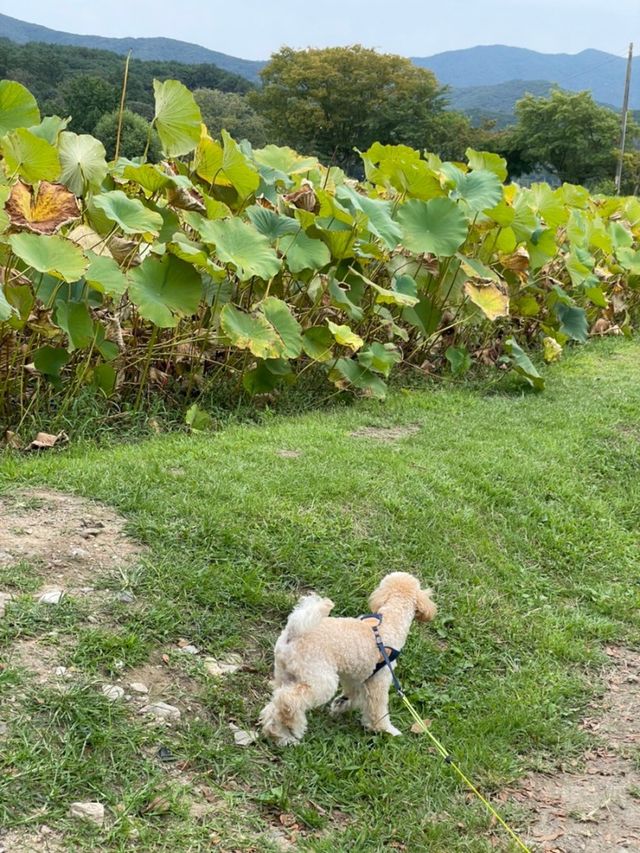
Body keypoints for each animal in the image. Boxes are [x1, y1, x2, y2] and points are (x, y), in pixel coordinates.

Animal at [258, 572, 436, 744]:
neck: (390, 620)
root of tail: (295, 631)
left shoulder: (356, 676)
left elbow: (353, 695)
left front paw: (340, 705)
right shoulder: (379, 678)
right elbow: (378, 708)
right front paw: (385, 730)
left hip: (285, 674)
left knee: (276, 702)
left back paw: (280, 735)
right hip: (320, 679)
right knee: (288, 700)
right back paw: (290, 732)